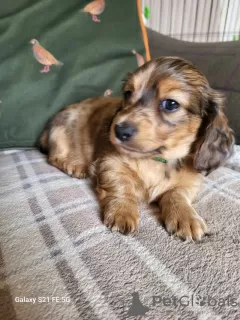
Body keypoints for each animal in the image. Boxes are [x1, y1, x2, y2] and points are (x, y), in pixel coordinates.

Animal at [39, 57, 234, 241]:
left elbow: (177, 194)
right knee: (54, 157)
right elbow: (121, 185)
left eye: (171, 104)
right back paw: (74, 165)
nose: (119, 130)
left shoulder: (190, 182)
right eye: (127, 93)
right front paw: (122, 210)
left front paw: (185, 216)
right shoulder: (110, 162)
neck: (155, 159)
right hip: (62, 132)